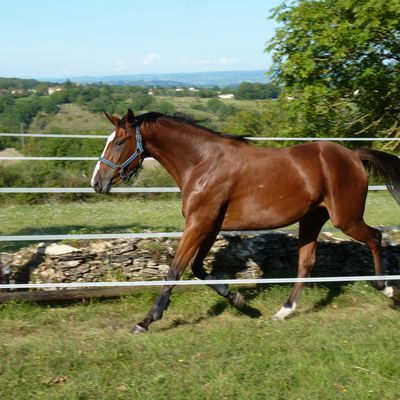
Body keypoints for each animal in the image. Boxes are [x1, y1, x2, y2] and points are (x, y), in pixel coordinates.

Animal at [91, 109, 400, 334]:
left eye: (119, 142)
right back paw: (284, 311)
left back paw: (387, 290)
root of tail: (353, 155)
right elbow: (198, 269)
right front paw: (242, 304)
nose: (97, 183)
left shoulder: (199, 223)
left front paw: (145, 321)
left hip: (346, 218)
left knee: (375, 238)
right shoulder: (210, 226)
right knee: (306, 263)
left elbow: (176, 270)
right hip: (312, 220)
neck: (202, 163)